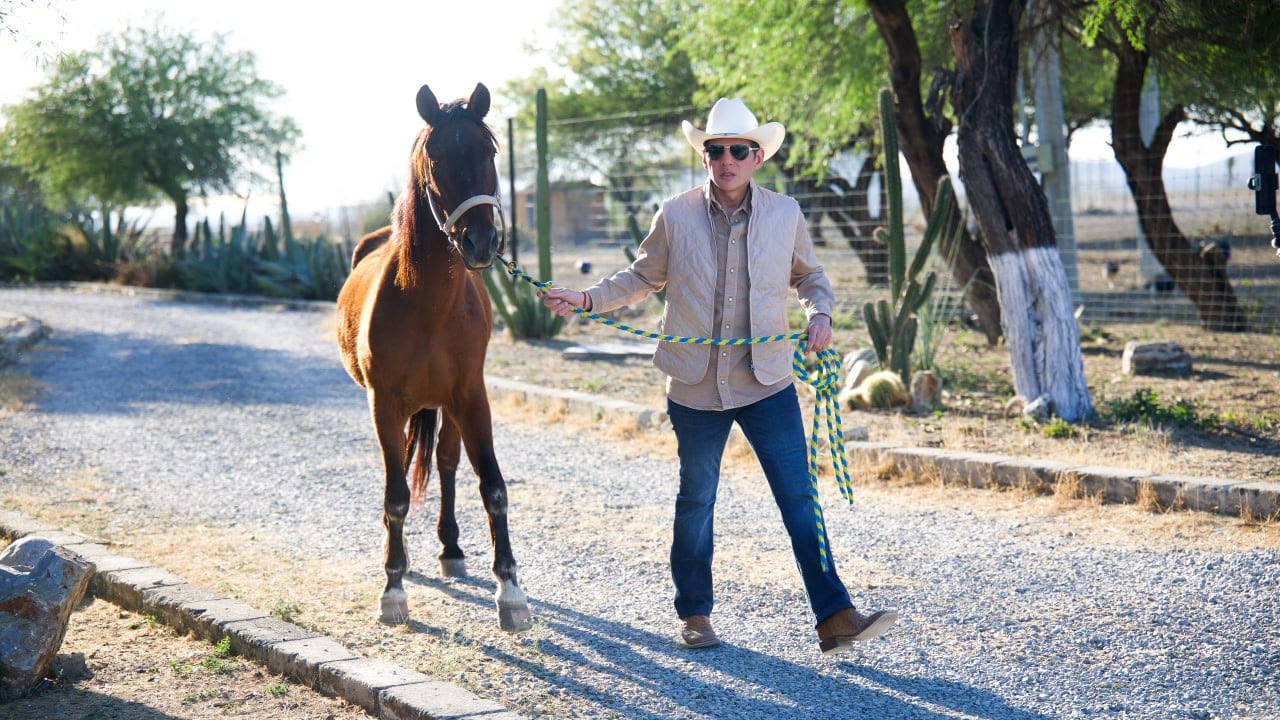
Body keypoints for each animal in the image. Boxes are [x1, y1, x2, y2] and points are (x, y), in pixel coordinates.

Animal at [335, 82, 530, 632]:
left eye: (488, 151)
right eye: (437, 157)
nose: (481, 241)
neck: (427, 304)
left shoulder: (471, 397)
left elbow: (493, 487)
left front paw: (511, 592)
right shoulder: (384, 403)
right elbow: (397, 495)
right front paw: (393, 588)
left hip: (446, 405)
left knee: (445, 463)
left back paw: (451, 549)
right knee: (403, 469)